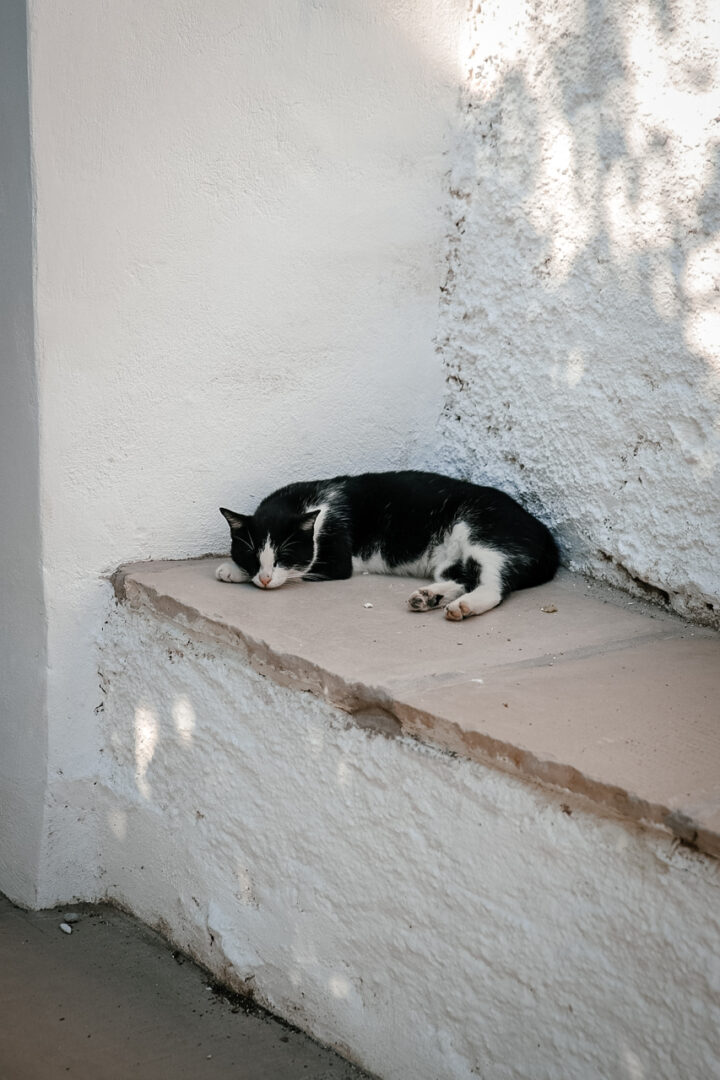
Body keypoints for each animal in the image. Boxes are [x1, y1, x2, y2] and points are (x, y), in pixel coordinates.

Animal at [215, 468, 557, 622]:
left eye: (285, 555)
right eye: (251, 553)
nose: (264, 578)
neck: (305, 505)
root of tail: (547, 535)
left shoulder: (336, 556)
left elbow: (303, 571)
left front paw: (235, 571)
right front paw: (235, 569)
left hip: (483, 532)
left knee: (494, 584)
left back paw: (465, 606)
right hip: (452, 557)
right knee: (463, 576)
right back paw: (428, 597)